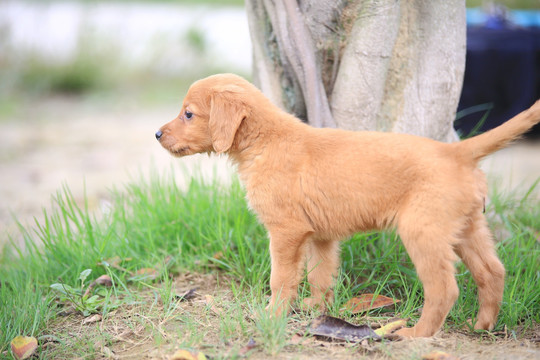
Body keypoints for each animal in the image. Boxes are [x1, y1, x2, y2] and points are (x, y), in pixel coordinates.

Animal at [155, 73, 540, 338]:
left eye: (188, 114)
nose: (157, 134)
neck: (267, 141)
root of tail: (457, 152)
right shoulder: (319, 236)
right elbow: (320, 275)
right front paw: (316, 308)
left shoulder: (285, 231)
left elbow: (281, 279)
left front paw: (272, 314)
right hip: (468, 227)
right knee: (492, 272)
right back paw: (483, 325)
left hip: (423, 232)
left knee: (444, 288)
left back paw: (417, 334)